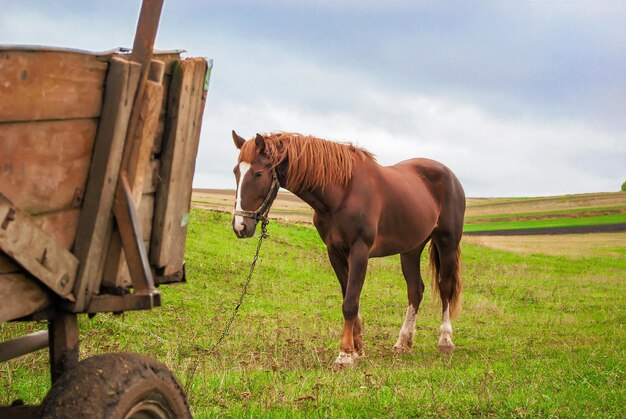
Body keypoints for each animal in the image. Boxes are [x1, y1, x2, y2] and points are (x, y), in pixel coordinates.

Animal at [229, 130, 464, 368]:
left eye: (258, 174)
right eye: (236, 172)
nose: (240, 226)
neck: (343, 193)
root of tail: (450, 175)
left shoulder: (359, 251)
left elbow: (350, 302)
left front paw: (344, 354)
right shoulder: (335, 252)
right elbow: (348, 298)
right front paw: (357, 350)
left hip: (447, 242)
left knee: (445, 288)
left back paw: (445, 341)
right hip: (411, 249)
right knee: (415, 290)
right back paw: (403, 343)